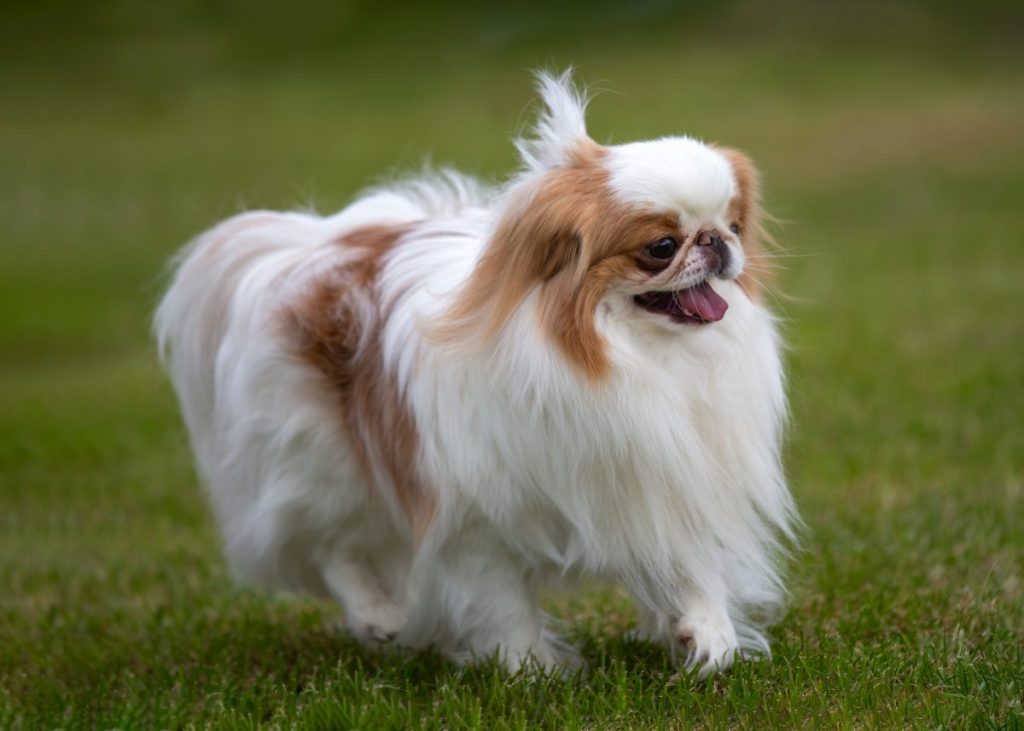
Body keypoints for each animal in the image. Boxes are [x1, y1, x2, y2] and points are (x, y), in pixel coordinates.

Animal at [155, 71, 802, 675]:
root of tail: (314, 243)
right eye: (662, 246)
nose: (715, 243)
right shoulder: (475, 521)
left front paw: (707, 637)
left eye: (734, 226)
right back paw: (379, 617)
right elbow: (501, 602)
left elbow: (695, 567)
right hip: (325, 463)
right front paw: (531, 671)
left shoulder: (671, 483)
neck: (632, 360)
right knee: (334, 547)